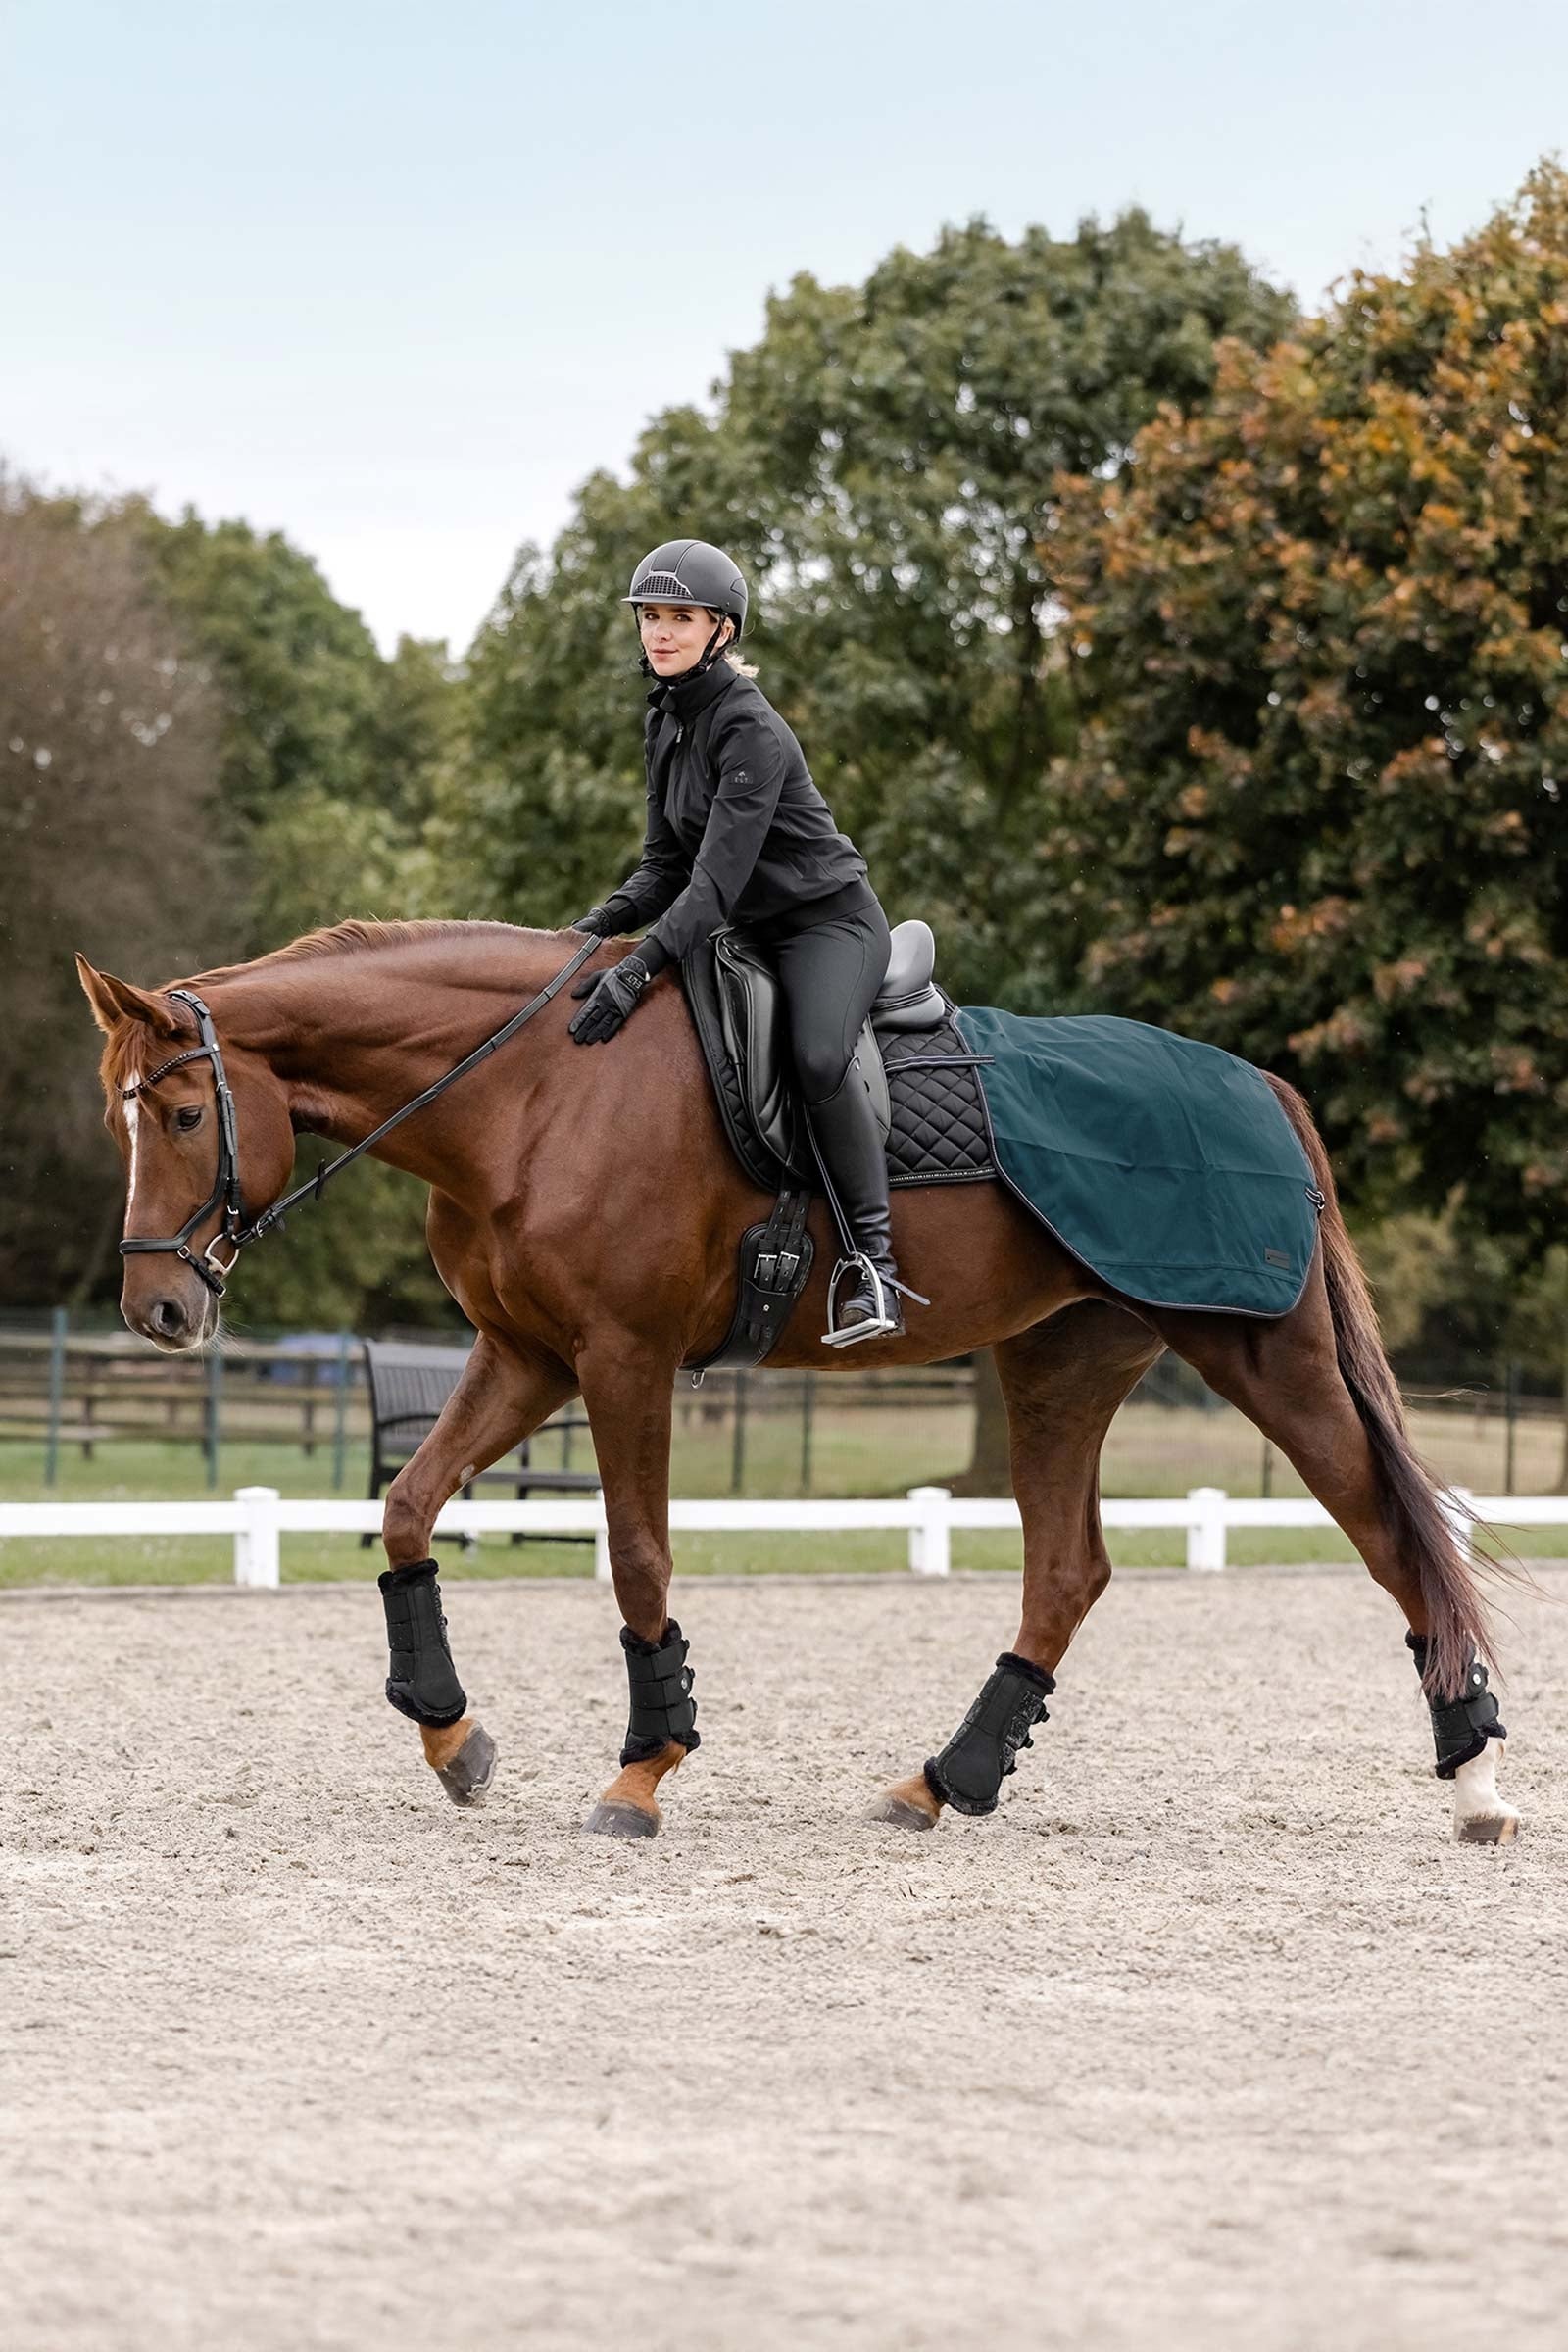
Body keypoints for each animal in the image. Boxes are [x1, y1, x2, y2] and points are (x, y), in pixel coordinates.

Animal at [76, 919, 1518, 1845]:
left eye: (188, 1117)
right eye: (120, 1123)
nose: (158, 1310)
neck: (535, 1091)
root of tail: (1254, 1084)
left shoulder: (622, 1358)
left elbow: (639, 1556)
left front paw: (643, 1772)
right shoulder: (526, 1355)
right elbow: (408, 1508)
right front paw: (452, 1737)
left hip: (1264, 1353)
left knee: (1395, 1538)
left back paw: (1476, 1784)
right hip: (1061, 1364)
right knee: (1067, 1571)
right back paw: (947, 1783)